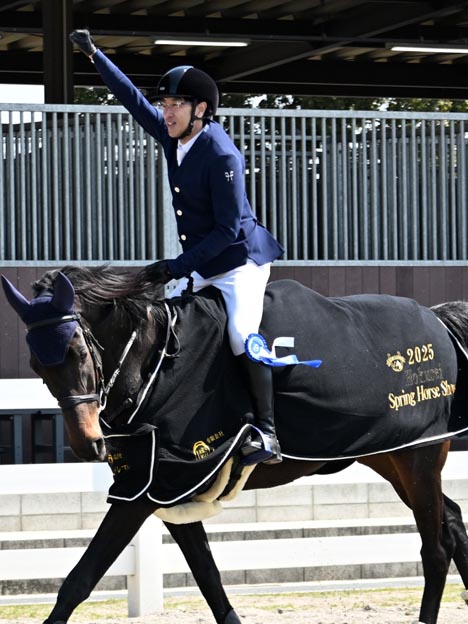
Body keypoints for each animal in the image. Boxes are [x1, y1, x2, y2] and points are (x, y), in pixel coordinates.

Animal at [2, 264, 468, 624]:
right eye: (37, 364)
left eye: (79, 351)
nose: (87, 444)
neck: (156, 363)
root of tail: (434, 316)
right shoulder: (167, 487)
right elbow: (209, 579)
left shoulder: (145, 493)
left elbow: (80, 579)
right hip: (389, 456)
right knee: (453, 520)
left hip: (419, 456)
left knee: (435, 548)